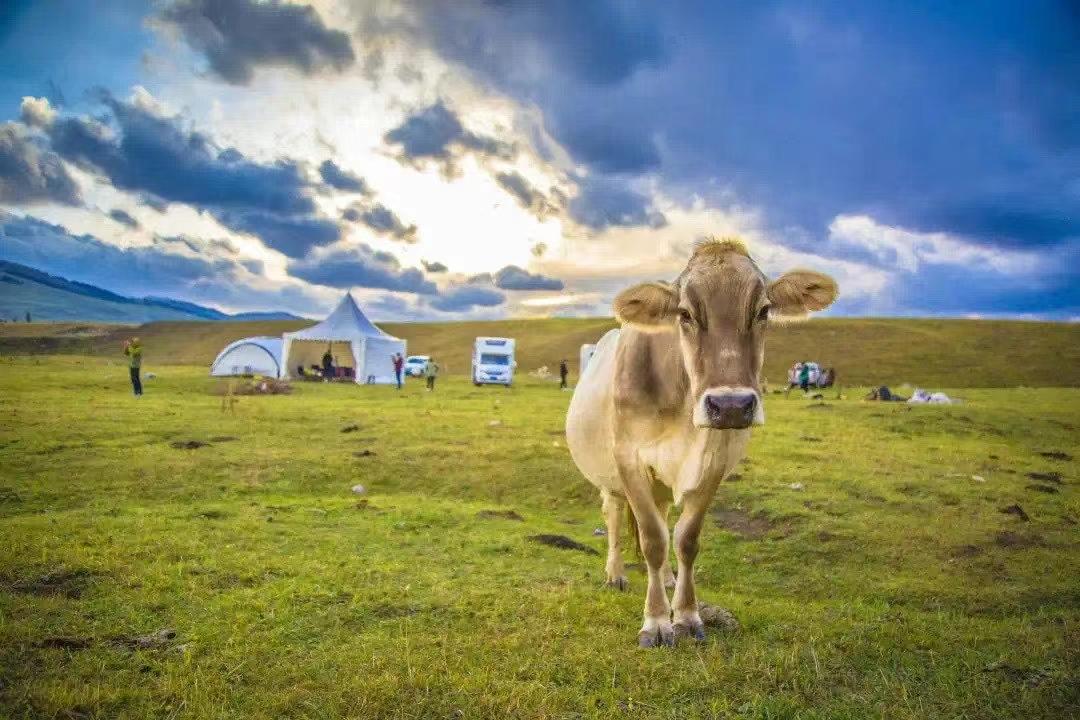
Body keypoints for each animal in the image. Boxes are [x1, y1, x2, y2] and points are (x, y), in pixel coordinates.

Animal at [565, 237, 833, 647]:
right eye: (685, 314)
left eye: (763, 310)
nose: (731, 405)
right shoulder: (628, 458)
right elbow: (652, 540)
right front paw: (656, 622)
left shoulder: (715, 462)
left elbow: (685, 540)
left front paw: (687, 617)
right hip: (609, 476)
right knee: (614, 516)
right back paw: (615, 574)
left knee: (663, 519)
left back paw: (667, 578)